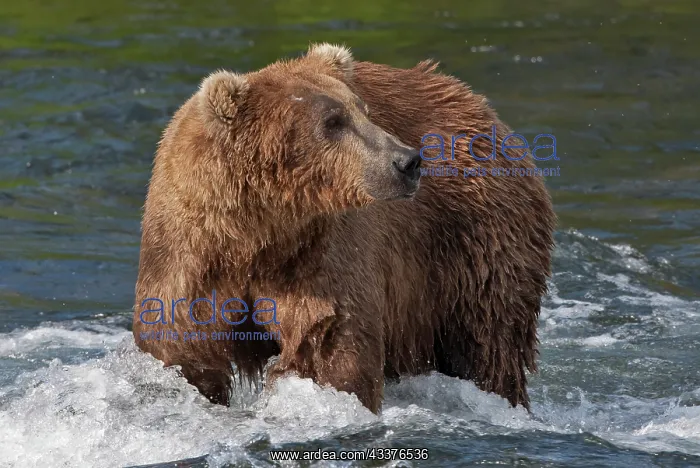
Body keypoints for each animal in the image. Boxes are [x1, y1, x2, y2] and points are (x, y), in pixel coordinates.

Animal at [132, 43, 556, 414]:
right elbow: (181, 347)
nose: (408, 160)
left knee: (489, 340)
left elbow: (329, 343)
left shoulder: (320, 252)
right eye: (332, 121)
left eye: (363, 110)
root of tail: (477, 104)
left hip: (475, 241)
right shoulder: (188, 252)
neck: (261, 232)